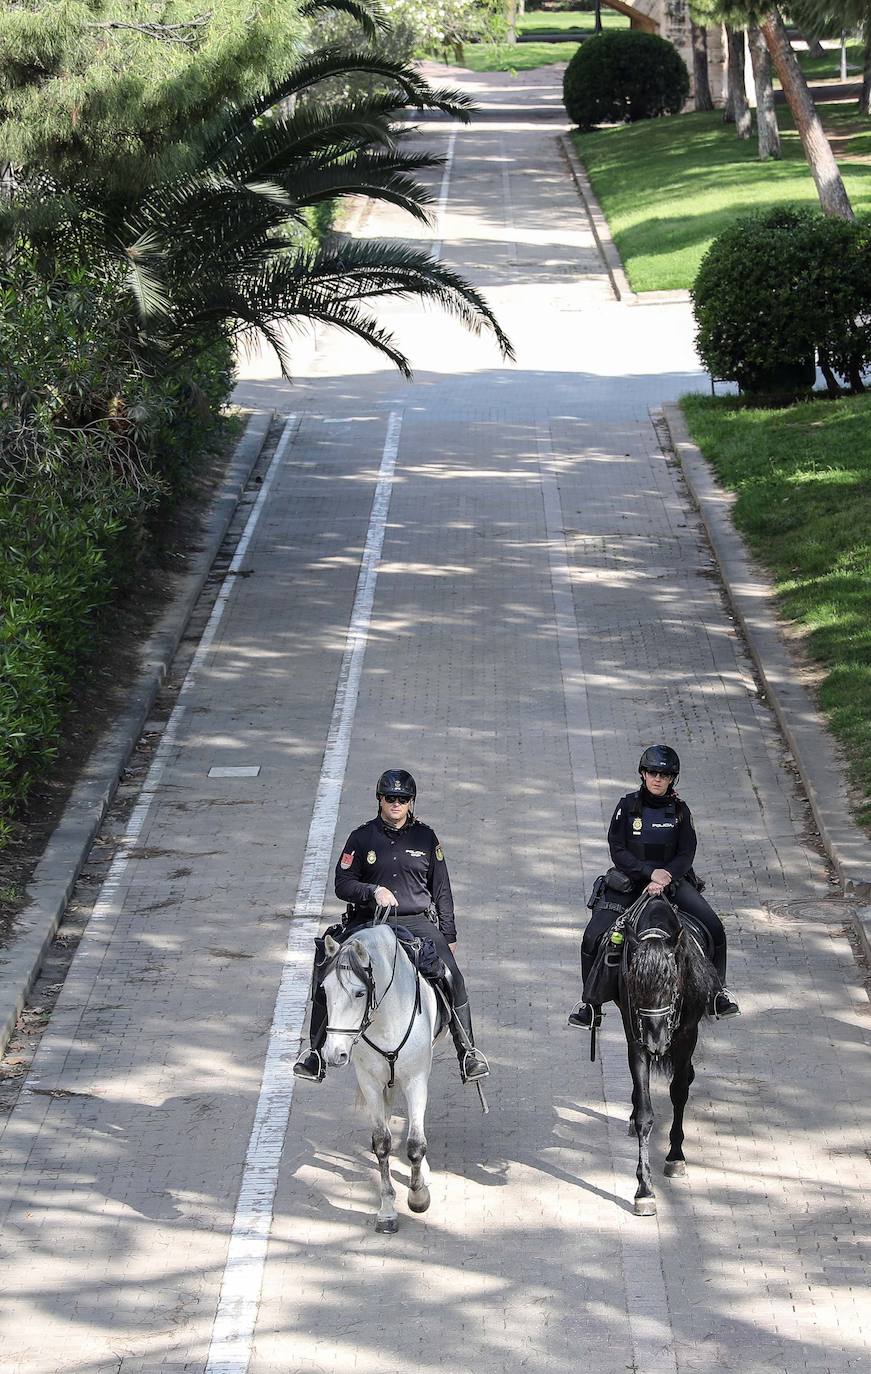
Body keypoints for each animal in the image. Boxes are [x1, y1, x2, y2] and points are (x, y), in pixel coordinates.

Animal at [320, 923, 436, 1236]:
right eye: (324, 989)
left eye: (360, 993)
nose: (333, 1054)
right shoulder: (370, 1081)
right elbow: (381, 1142)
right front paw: (386, 1211)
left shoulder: (416, 1079)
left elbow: (415, 1144)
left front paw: (418, 1197)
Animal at [609, 890, 714, 1214]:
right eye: (633, 985)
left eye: (672, 984)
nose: (656, 1041)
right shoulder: (635, 1039)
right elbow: (645, 1115)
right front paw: (644, 1189)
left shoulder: (688, 1034)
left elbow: (679, 1092)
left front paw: (675, 1156)